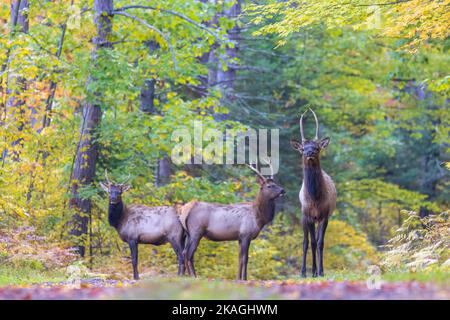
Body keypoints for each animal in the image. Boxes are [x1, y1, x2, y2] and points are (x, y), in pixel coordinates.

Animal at [290, 108, 336, 278]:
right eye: (303, 149)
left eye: (317, 148)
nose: (309, 153)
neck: (315, 198)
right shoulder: (308, 215)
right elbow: (311, 243)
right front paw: (309, 272)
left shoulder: (324, 215)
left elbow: (320, 243)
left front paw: (321, 271)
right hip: (304, 218)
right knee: (306, 242)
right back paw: (306, 271)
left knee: (316, 240)